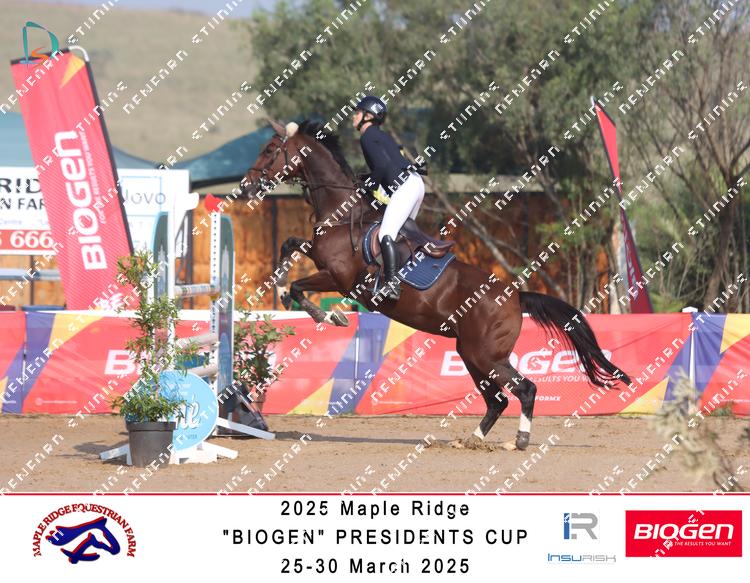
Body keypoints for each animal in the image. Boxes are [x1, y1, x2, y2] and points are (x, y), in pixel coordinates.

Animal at [240, 118, 631, 451]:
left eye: (270, 149)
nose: (246, 186)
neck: (342, 212)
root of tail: (515, 295)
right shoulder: (318, 257)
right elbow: (289, 247)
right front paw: (280, 286)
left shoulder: (339, 278)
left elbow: (299, 287)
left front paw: (327, 316)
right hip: (470, 354)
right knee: (498, 400)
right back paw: (470, 440)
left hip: (485, 355)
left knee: (526, 389)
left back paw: (517, 441)